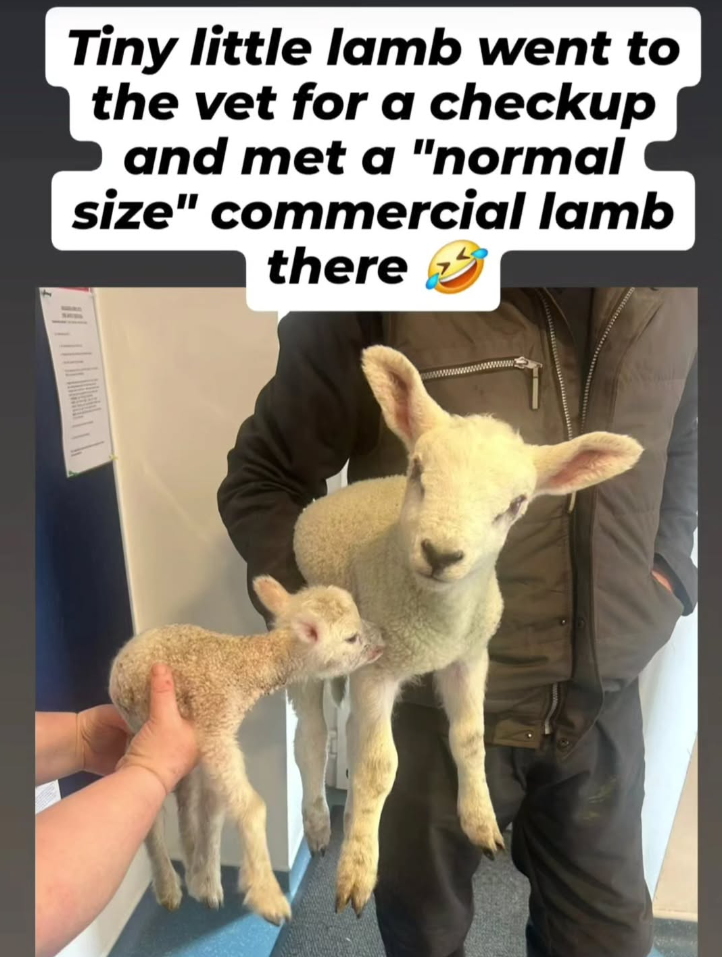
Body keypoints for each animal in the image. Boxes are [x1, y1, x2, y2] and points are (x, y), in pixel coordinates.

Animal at [109, 576, 384, 926]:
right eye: (351, 637)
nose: (382, 640)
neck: (245, 668)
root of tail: (123, 657)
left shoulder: (212, 739)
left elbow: (214, 812)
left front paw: (208, 881)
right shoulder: (214, 726)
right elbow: (252, 807)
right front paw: (268, 898)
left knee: (189, 801)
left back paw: (197, 874)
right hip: (143, 728)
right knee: (150, 805)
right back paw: (169, 886)